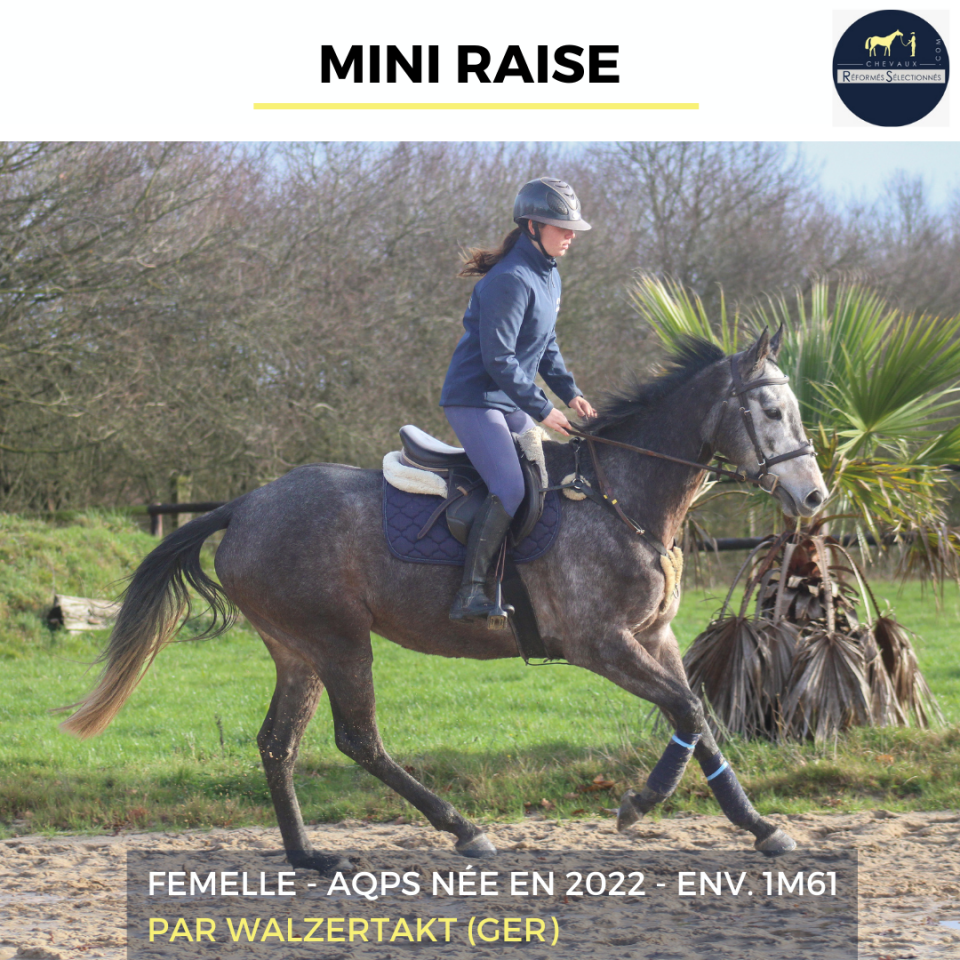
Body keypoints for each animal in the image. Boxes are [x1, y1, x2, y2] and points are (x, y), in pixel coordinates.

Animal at [61, 329, 828, 874]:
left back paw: (309, 856)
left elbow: (696, 715)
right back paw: (461, 829)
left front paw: (759, 827)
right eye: (770, 410)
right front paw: (640, 805)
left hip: (296, 649)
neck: (623, 498)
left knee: (279, 744)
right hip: (338, 640)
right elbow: (689, 711)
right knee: (357, 738)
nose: (814, 497)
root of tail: (244, 505)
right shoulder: (600, 643)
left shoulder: (654, 638)